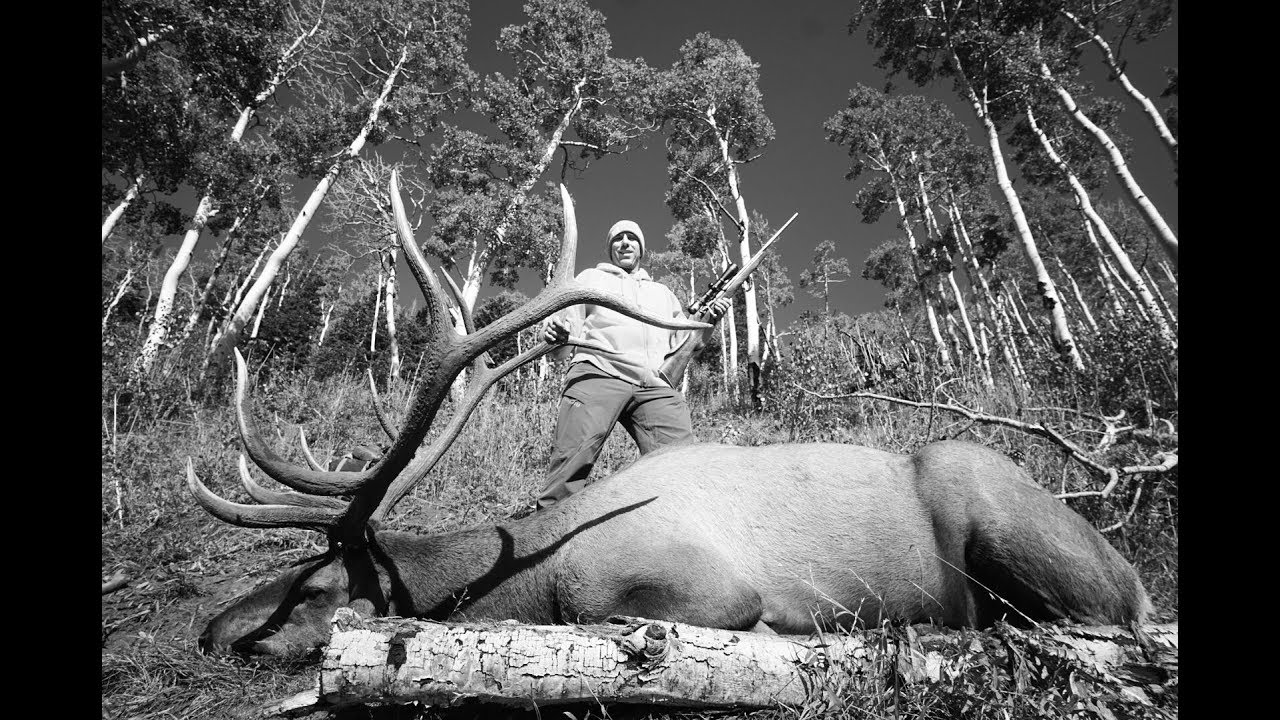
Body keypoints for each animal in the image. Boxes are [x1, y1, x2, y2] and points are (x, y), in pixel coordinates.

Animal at [189, 174, 1151, 658]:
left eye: (313, 588)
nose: (210, 629)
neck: (534, 570)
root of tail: (1133, 570)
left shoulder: (698, 586)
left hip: (999, 507)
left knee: (1093, 618)